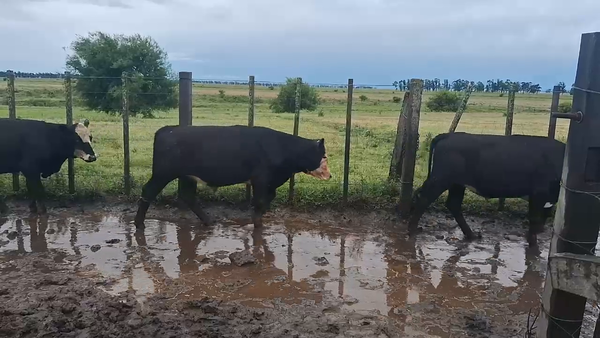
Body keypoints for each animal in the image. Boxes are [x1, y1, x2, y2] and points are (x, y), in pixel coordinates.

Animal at [408, 133, 568, 248]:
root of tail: (449, 135)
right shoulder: (538, 194)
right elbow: (535, 222)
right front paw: (533, 246)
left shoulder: (548, 198)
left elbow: (542, 220)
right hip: (442, 178)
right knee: (424, 198)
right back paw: (412, 229)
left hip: (457, 184)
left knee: (453, 204)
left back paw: (471, 235)